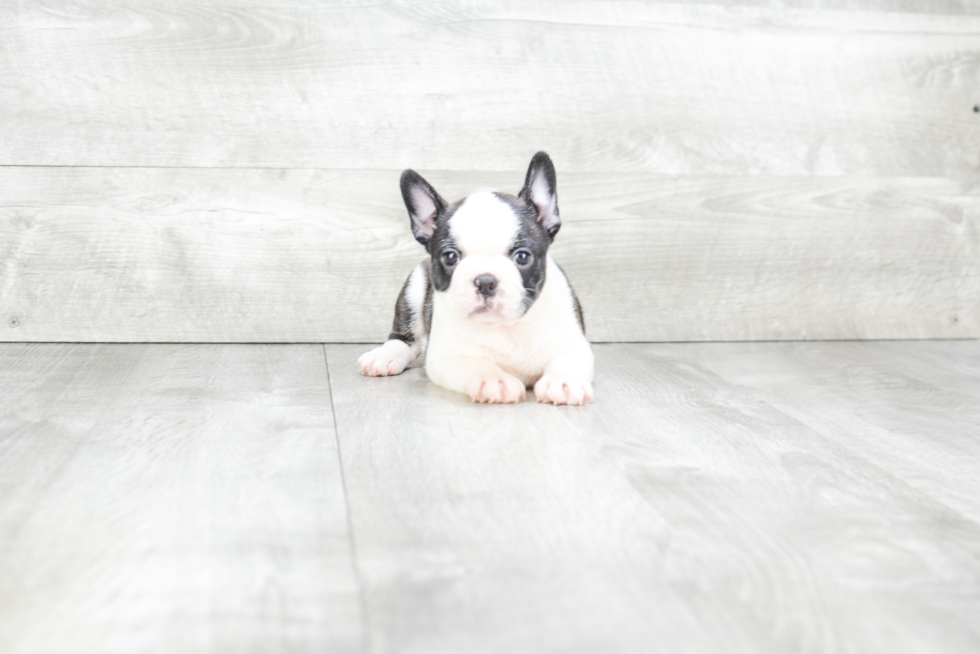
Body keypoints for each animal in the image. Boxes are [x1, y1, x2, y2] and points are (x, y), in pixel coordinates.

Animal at [358, 152, 592, 404]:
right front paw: (494, 380)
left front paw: (564, 381)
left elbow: (568, 359)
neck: (504, 327)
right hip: (414, 286)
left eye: (522, 256)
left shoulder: (574, 343)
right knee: (404, 337)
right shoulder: (446, 356)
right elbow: (475, 363)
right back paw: (384, 356)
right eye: (450, 257)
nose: (486, 281)